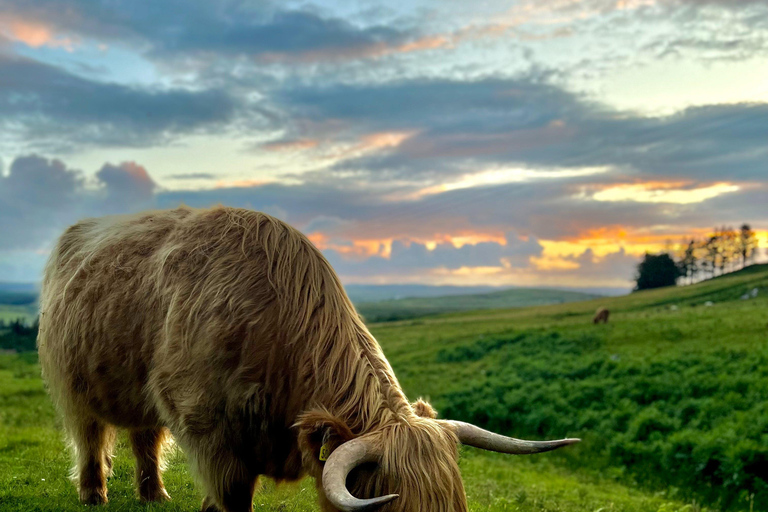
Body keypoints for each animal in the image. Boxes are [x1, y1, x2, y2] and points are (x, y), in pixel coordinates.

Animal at [34, 206, 576, 510]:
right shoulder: (212, 437)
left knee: (145, 437)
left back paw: (154, 495)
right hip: (74, 384)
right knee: (90, 438)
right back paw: (93, 494)